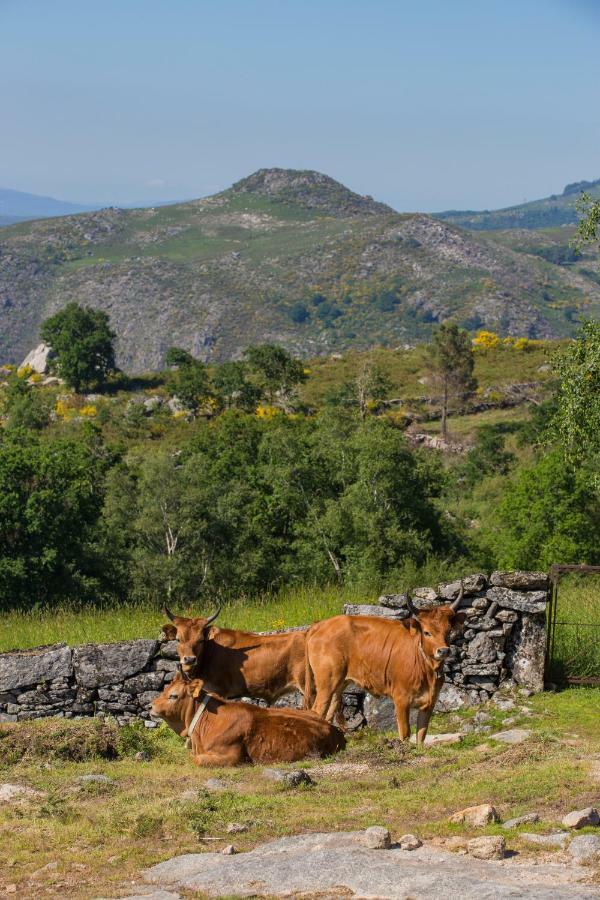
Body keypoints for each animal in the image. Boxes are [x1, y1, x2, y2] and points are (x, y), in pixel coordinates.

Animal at [151, 676, 346, 768]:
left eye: (173, 696)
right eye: (164, 689)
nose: (150, 706)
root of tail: (334, 730)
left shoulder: (232, 756)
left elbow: (196, 760)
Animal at [302, 584, 466, 744]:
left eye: (449, 631)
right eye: (427, 632)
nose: (444, 651)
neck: (428, 670)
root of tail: (320, 625)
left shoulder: (429, 703)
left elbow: (421, 737)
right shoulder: (401, 699)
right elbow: (405, 734)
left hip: (338, 686)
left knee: (328, 714)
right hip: (326, 683)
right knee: (317, 711)